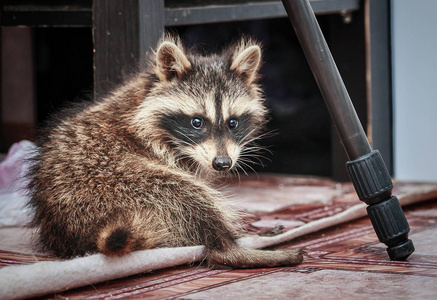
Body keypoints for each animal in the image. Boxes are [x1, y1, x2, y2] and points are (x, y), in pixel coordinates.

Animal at [29, 34, 304, 268]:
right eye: (197, 122)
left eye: (233, 123)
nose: (222, 163)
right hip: (124, 185)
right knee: (189, 197)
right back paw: (235, 247)